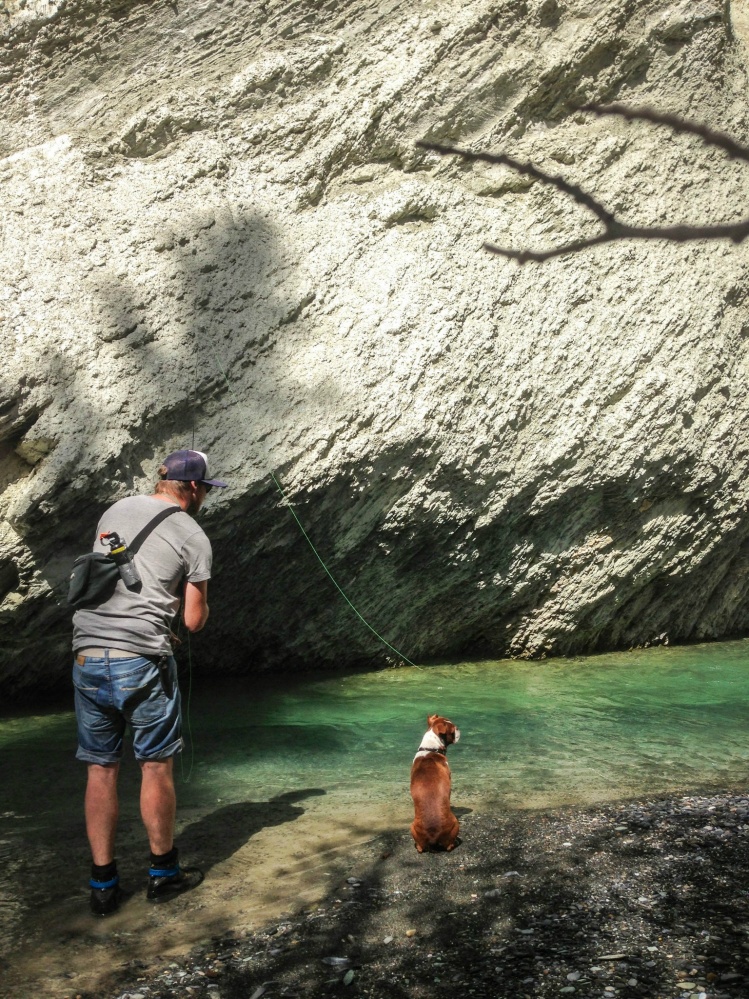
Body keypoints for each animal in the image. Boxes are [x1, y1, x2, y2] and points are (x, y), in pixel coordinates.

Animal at [410, 712, 462, 852]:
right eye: (453, 730)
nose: (459, 729)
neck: (431, 749)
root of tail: (433, 836)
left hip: (412, 826)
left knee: (420, 848)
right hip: (456, 823)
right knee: (449, 846)